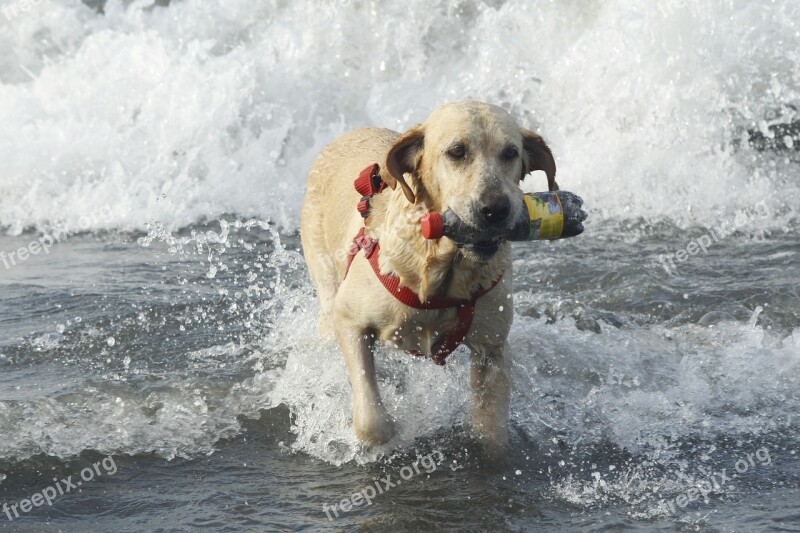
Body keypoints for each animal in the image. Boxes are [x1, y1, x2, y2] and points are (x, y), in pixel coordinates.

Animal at [300, 100, 556, 454]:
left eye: (511, 152)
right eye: (457, 151)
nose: (495, 209)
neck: (443, 272)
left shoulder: (493, 350)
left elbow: (491, 432)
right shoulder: (349, 318)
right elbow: (372, 422)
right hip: (324, 278)